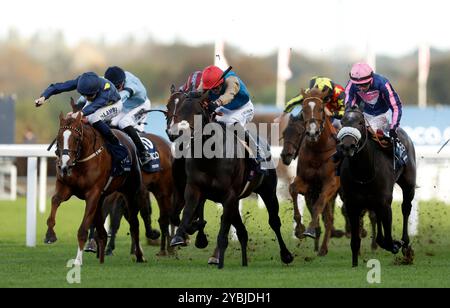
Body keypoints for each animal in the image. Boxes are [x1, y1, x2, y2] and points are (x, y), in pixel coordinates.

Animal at [44, 110, 147, 264]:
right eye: (59, 139)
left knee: (134, 223)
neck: (81, 160)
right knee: (102, 231)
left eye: (76, 138)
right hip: (102, 198)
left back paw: (139, 256)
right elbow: (55, 200)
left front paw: (78, 260)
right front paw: (50, 235)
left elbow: (83, 229)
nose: (64, 165)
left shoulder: (93, 194)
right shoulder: (65, 187)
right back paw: (101, 258)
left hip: (130, 192)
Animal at [167, 92, 294, 268]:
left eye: (197, 112)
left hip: (267, 190)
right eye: (176, 109)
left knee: (274, 221)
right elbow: (187, 213)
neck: (210, 157)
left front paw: (219, 261)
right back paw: (244, 261)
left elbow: (223, 230)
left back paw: (286, 255)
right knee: (242, 231)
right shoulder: (194, 189)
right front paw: (181, 236)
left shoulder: (229, 195)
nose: (176, 133)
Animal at [338, 104, 414, 266]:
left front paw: (396, 244)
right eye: (342, 122)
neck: (364, 172)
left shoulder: (385, 202)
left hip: (408, 184)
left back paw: (405, 243)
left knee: (406, 208)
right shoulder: (352, 205)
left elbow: (389, 239)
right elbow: (355, 242)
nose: (347, 146)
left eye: (360, 122)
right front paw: (354, 265)